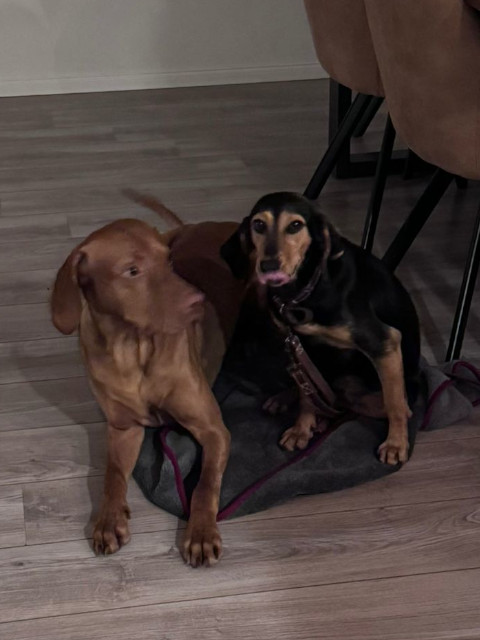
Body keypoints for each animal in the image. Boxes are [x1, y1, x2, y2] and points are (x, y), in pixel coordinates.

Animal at [51, 202, 244, 567]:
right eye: (132, 271)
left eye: (168, 261)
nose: (198, 301)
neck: (133, 349)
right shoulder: (123, 428)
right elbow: (112, 475)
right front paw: (108, 519)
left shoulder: (213, 430)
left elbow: (205, 484)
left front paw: (201, 533)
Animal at [221, 191, 420, 465]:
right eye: (258, 225)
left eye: (295, 225)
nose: (269, 266)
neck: (302, 292)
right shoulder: (299, 346)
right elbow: (307, 397)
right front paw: (301, 429)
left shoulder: (383, 342)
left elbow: (395, 404)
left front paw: (395, 443)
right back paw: (288, 400)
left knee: (378, 405)